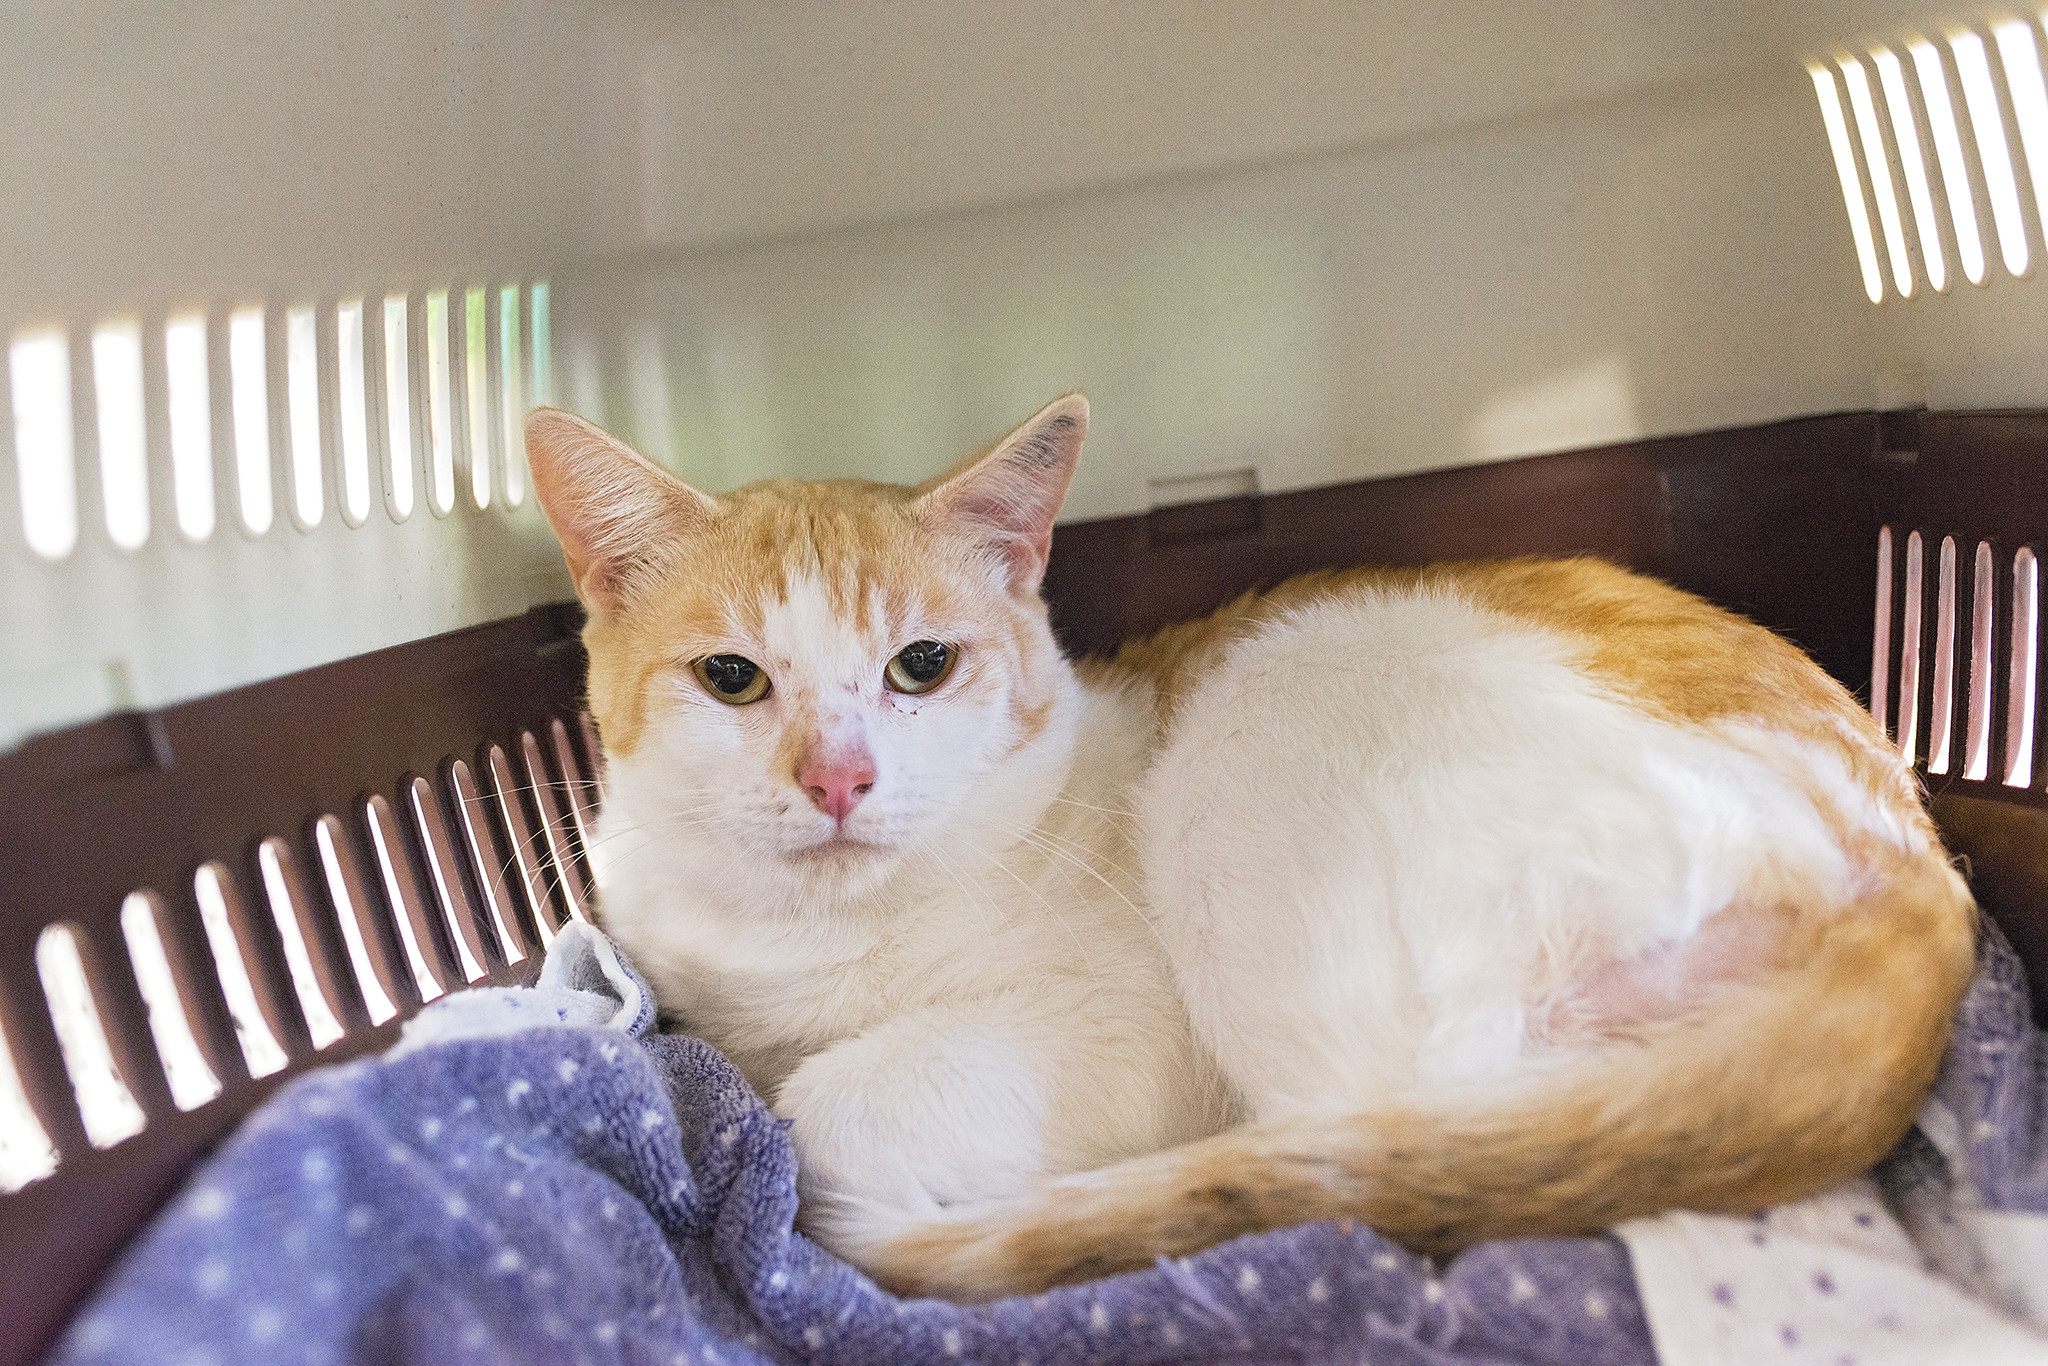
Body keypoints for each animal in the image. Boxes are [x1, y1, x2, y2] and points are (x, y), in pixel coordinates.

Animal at [524, 394, 1976, 1302]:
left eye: (919, 666)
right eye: (731, 678)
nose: (839, 776)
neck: (807, 951)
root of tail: (1924, 883)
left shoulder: (1135, 1037)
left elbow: (819, 1108)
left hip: (1277, 731)